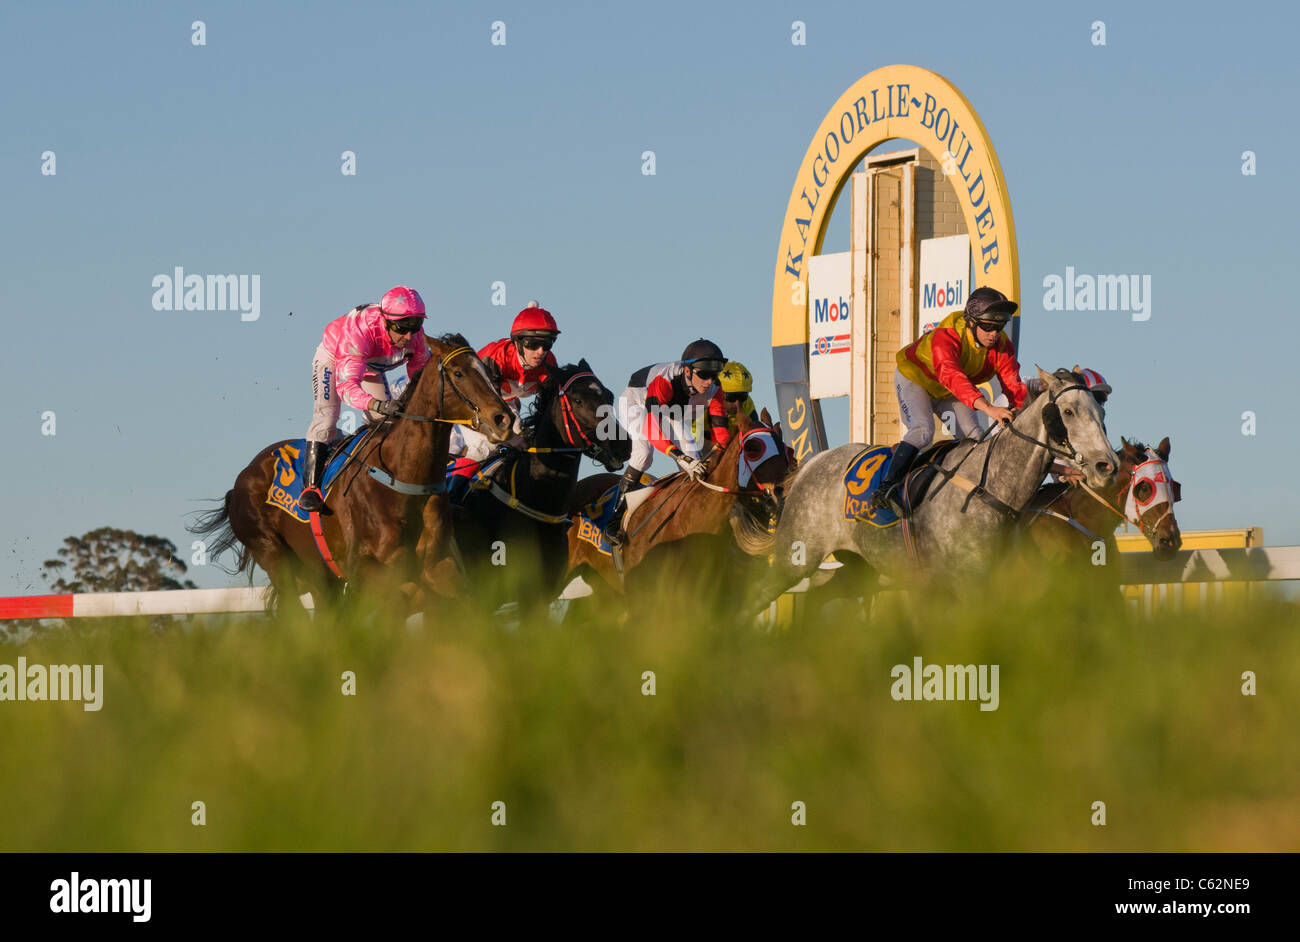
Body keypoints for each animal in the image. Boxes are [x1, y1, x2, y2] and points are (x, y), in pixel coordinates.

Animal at [189, 332, 512, 610]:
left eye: (488, 373)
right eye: (458, 373)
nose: (505, 419)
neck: (403, 478)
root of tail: (241, 481)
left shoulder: (443, 567)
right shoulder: (370, 570)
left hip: (320, 576)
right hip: (274, 556)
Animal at [759, 366, 1123, 610]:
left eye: (1102, 413)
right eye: (1068, 411)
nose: (1107, 466)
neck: (991, 490)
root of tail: (811, 463)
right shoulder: (964, 584)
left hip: (859, 567)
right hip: (795, 555)